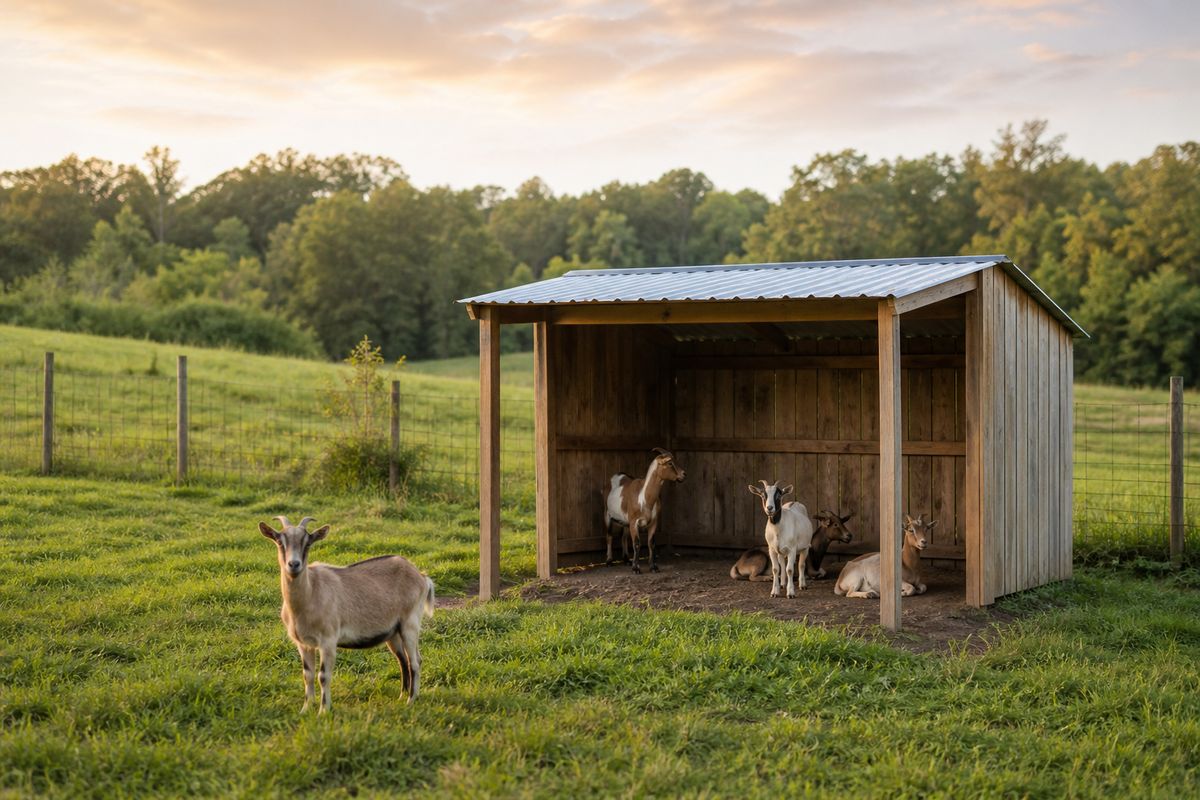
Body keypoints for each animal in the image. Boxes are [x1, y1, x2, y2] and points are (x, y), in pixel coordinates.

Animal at [258, 515, 435, 712]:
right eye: (280, 541)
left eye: (308, 543)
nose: (294, 565)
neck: (310, 594)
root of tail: (421, 576)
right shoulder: (303, 644)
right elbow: (307, 675)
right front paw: (305, 709)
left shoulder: (328, 640)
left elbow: (323, 676)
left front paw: (323, 711)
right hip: (393, 632)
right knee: (402, 659)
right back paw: (402, 696)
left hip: (410, 624)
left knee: (415, 661)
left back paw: (411, 700)